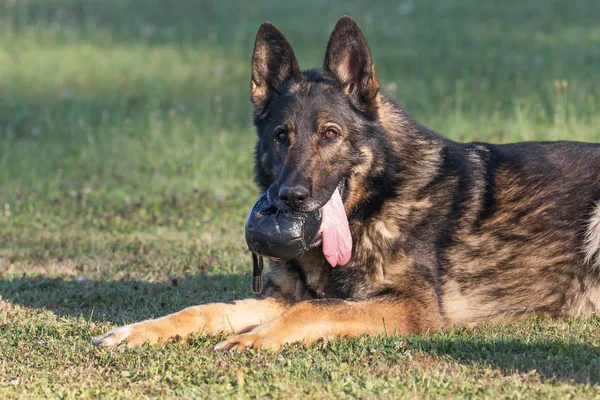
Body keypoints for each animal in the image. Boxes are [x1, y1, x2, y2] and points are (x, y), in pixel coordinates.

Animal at [92, 17, 600, 350]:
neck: (376, 204)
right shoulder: (280, 296)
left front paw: (255, 338)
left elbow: (315, 309)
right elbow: (207, 309)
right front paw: (139, 330)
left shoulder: (412, 308)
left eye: (331, 134)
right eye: (282, 136)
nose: (290, 198)